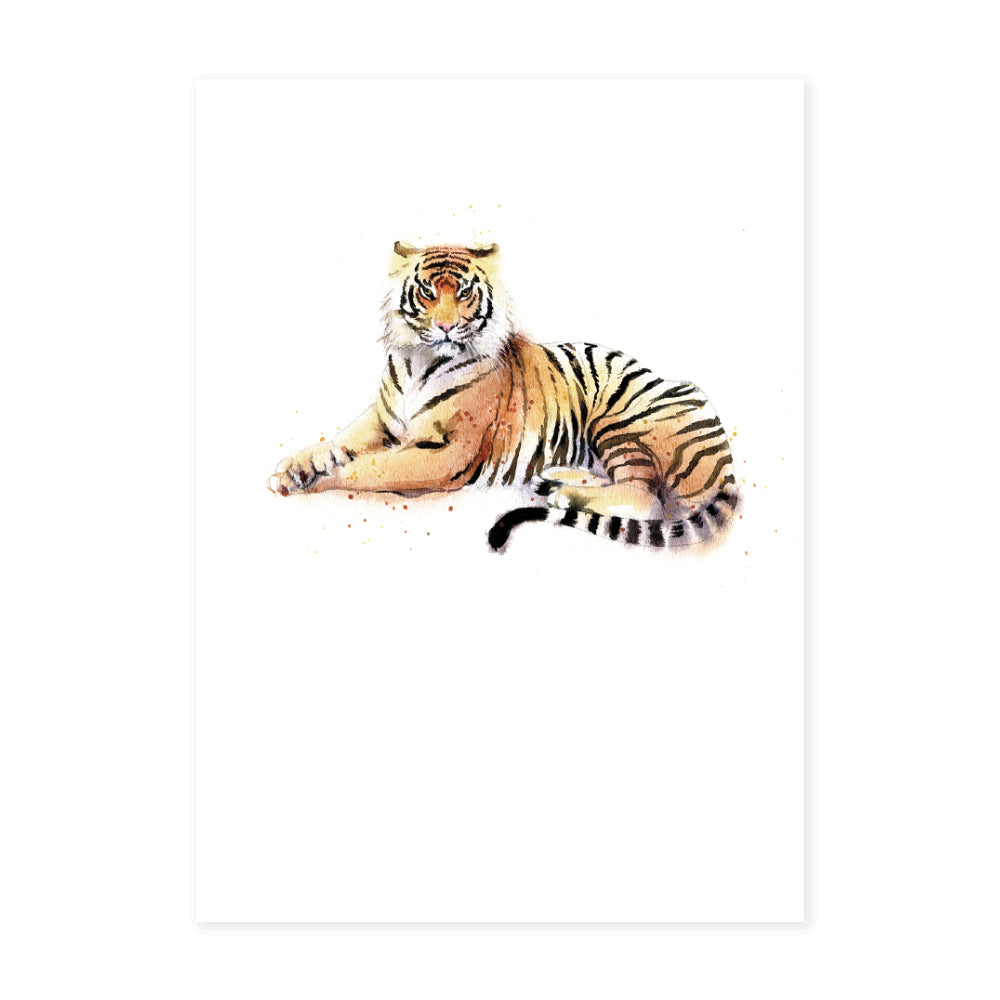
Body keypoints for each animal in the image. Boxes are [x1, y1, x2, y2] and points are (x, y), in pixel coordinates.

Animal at [268, 241, 739, 551]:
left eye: (463, 292)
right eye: (426, 292)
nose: (444, 327)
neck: (419, 362)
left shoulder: (448, 452)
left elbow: (370, 468)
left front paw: (315, 482)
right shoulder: (380, 420)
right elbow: (336, 443)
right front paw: (292, 470)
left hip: (620, 418)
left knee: (646, 497)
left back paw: (561, 492)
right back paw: (559, 479)